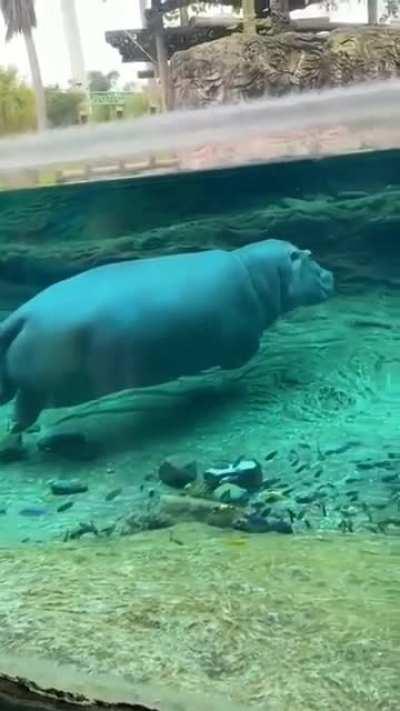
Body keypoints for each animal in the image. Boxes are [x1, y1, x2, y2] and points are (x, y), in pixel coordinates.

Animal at [0, 239, 334, 432]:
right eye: (309, 255)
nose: (331, 275)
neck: (261, 274)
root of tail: (23, 313)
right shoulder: (243, 339)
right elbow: (243, 354)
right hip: (44, 381)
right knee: (27, 403)